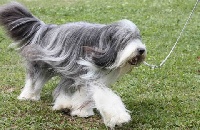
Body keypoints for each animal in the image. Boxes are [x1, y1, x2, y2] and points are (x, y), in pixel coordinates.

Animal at [0, 2, 147, 128]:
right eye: (125, 39)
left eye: (138, 37)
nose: (141, 50)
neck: (103, 44)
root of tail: (48, 28)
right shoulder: (88, 73)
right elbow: (105, 95)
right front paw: (119, 117)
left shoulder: (83, 74)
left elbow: (83, 93)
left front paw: (81, 111)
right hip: (43, 61)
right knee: (34, 79)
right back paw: (28, 96)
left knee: (64, 85)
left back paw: (63, 104)